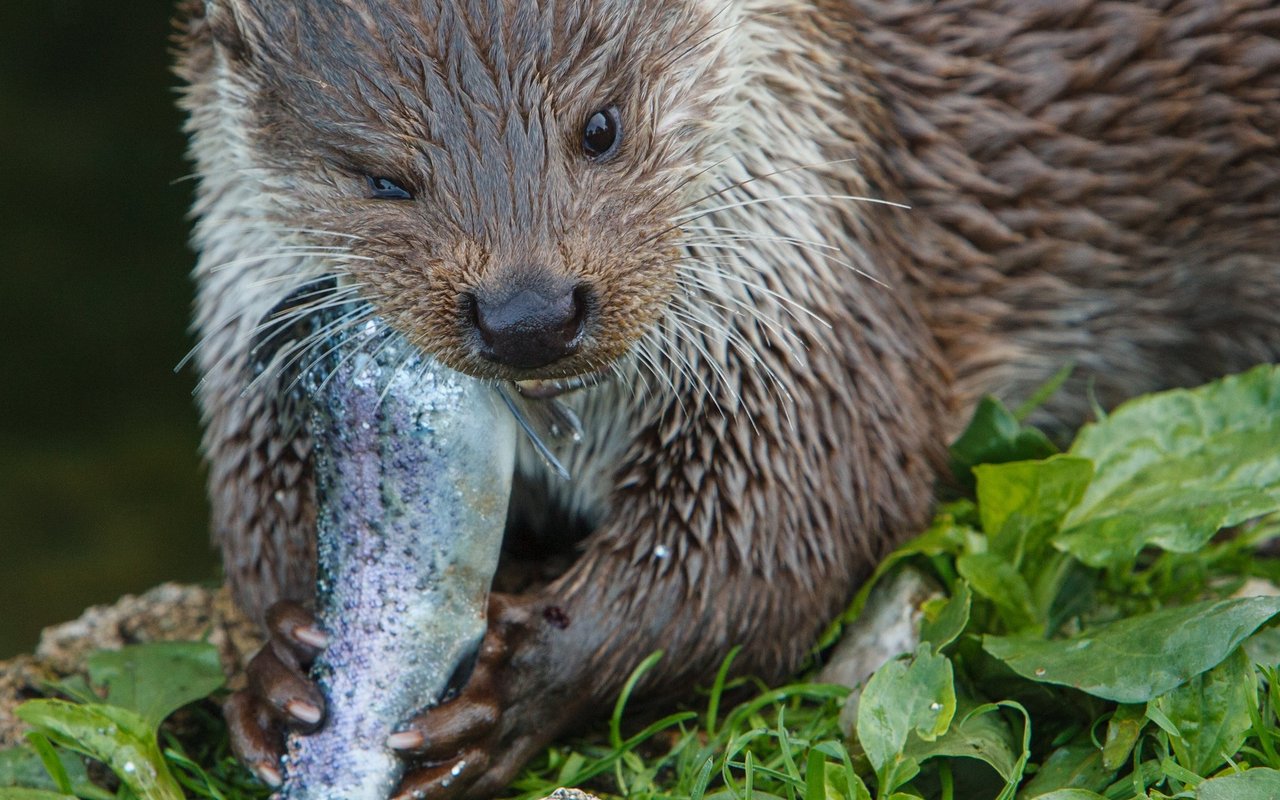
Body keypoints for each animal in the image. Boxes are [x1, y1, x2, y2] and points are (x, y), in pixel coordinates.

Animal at [172, 0, 1280, 793]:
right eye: (382, 180)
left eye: (600, 126)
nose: (528, 310)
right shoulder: (245, 335)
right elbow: (256, 516)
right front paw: (274, 677)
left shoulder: (806, 327)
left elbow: (777, 542)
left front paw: (518, 680)